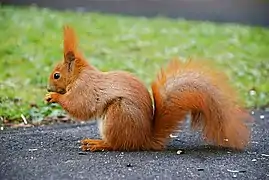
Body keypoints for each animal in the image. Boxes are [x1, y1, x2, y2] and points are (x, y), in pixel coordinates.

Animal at [44, 25, 251, 152]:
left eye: (56, 75)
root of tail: (144, 139)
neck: (79, 75)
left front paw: (54, 97)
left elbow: (79, 106)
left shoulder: (85, 88)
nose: (47, 88)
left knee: (117, 145)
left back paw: (98, 144)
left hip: (118, 115)